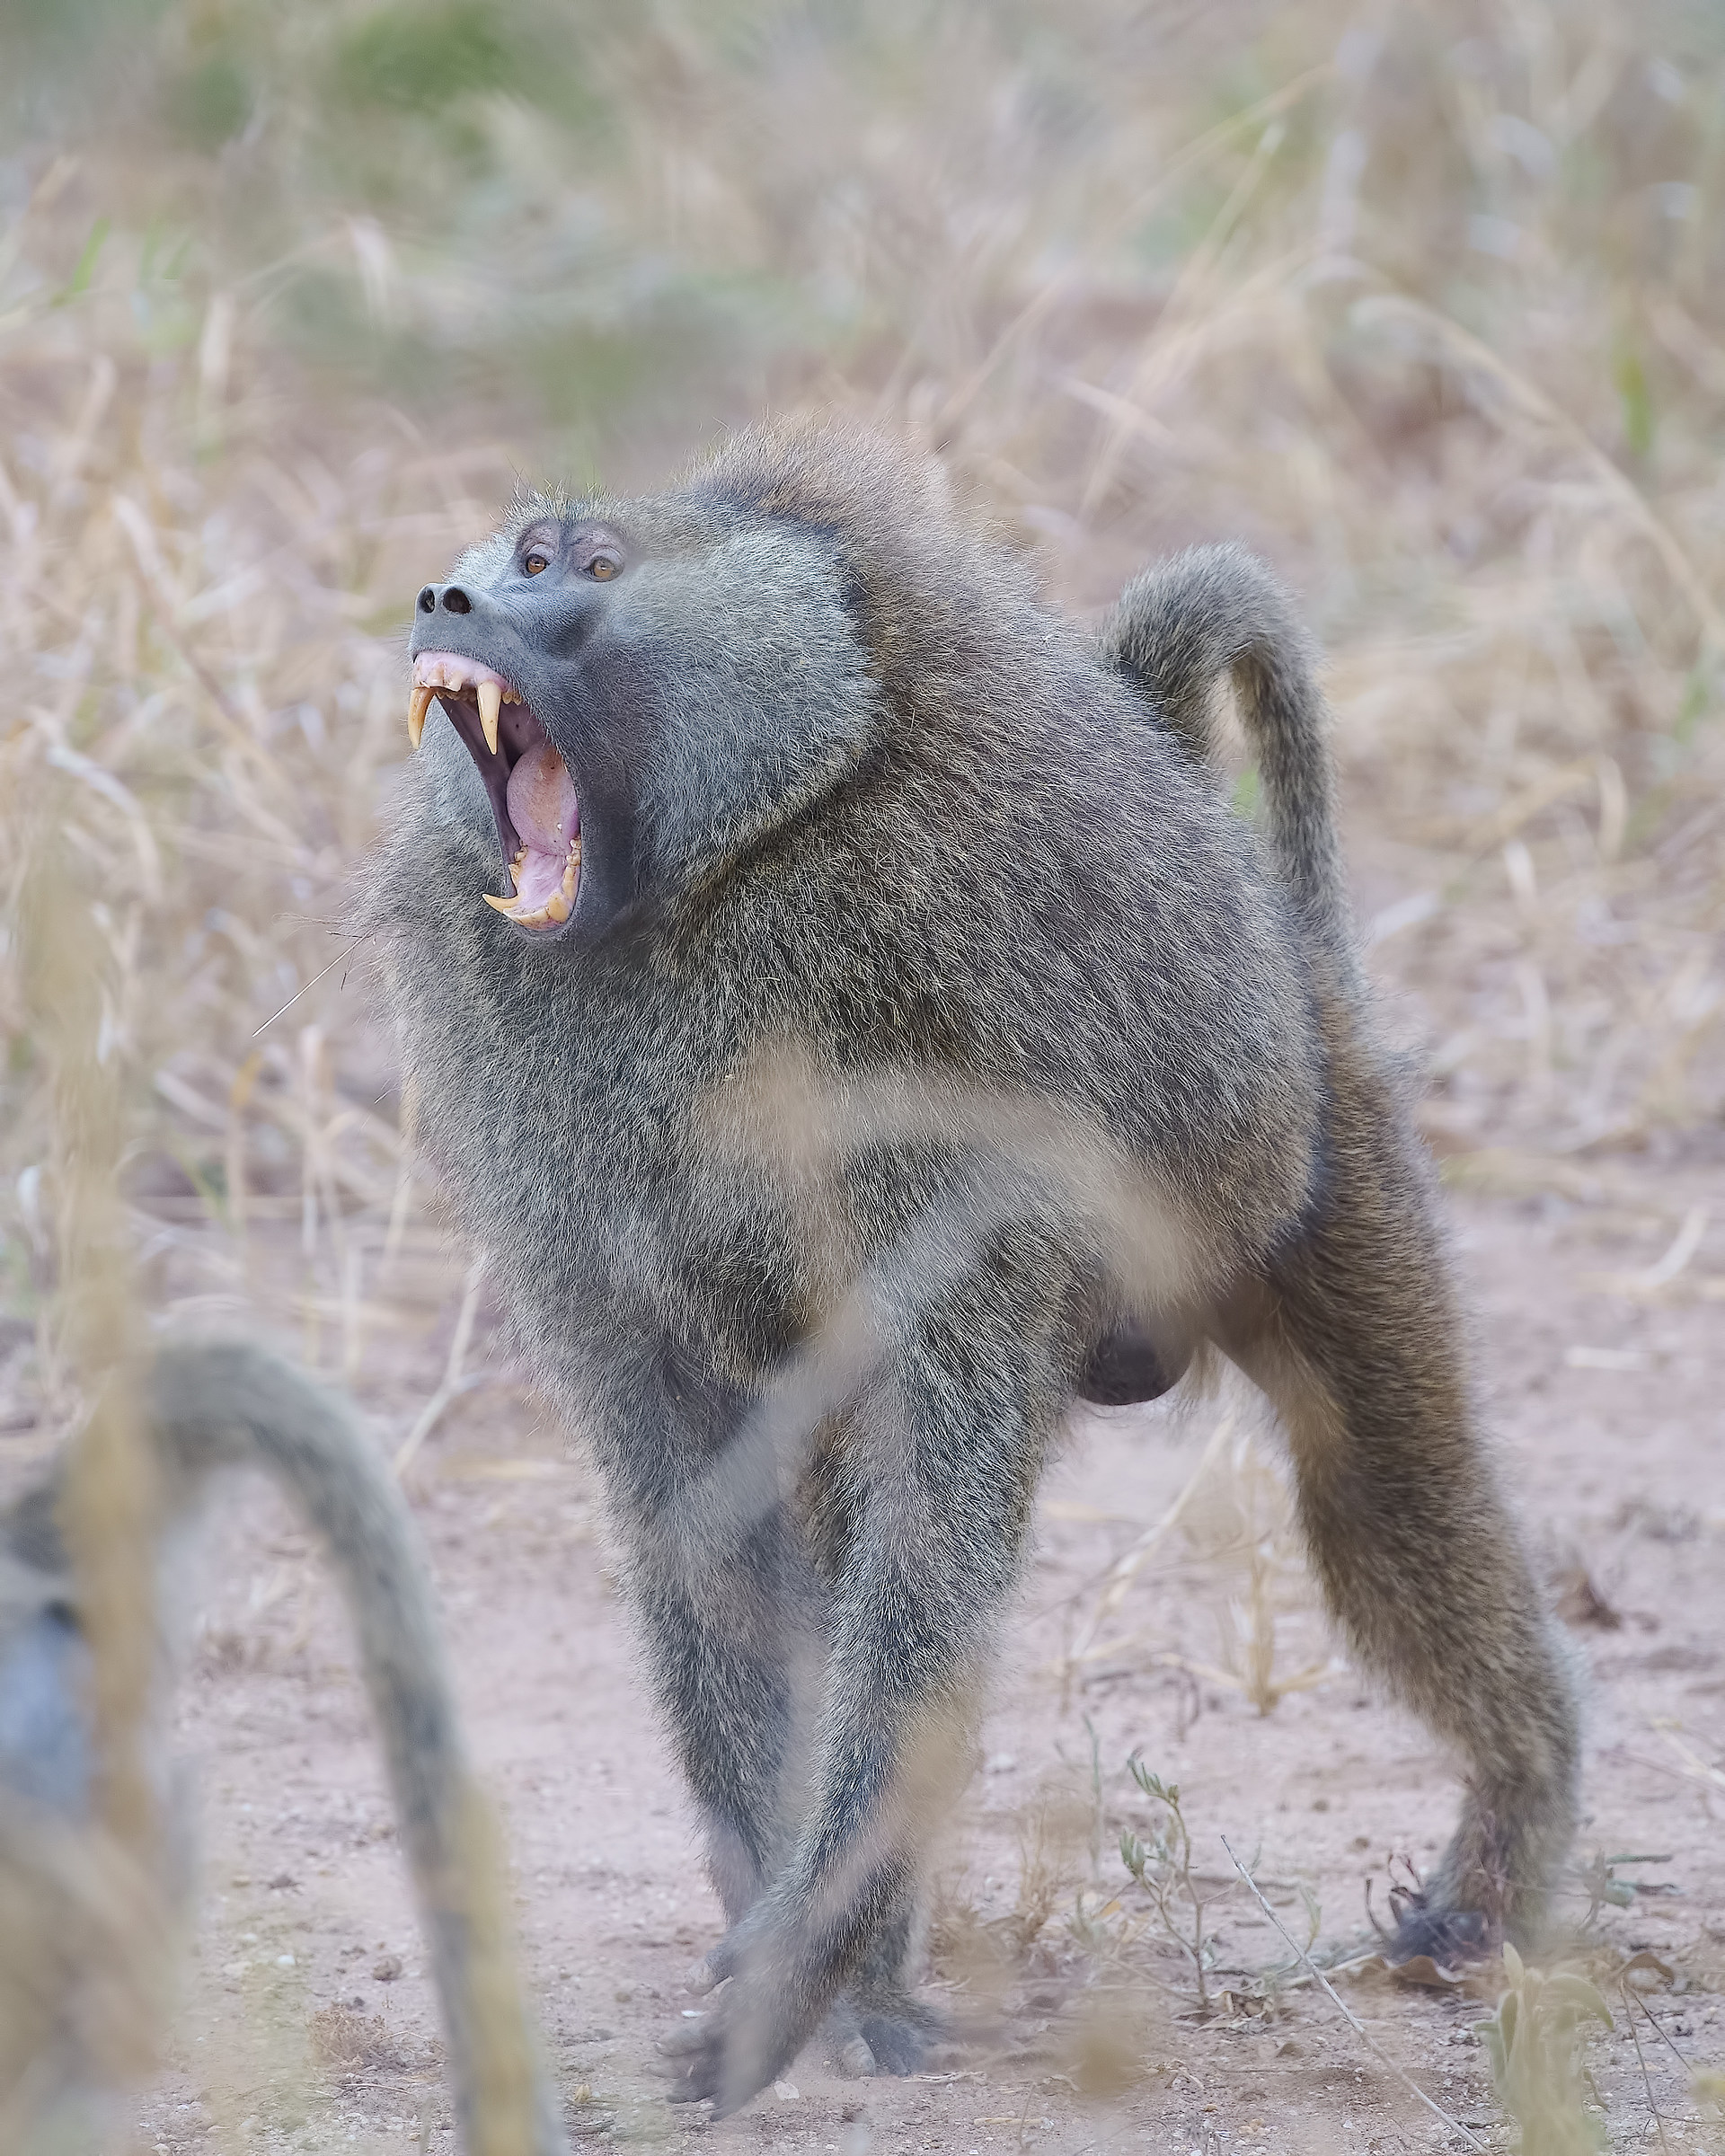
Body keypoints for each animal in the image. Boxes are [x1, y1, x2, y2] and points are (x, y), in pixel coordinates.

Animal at [372, 419, 1579, 2116]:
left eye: (585, 567)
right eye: (521, 555)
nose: (452, 592)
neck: (719, 878)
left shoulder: (939, 1066)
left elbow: (930, 1515)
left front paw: (800, 1973)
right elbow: (706, 1509)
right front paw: (794, 1946)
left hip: (1312, 1150)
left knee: (1380, 1494)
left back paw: (1506, 1846)